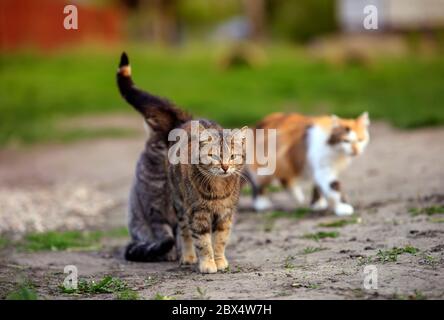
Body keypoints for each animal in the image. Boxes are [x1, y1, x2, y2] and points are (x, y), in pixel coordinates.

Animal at [117, 52, 246, 272]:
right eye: (214, 156)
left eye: (232, 157)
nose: (225, 167)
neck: (218, 189)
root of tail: (185, 121)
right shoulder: (197, 213)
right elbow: (203, 242)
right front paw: (207, 263)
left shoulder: (225, 214)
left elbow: (220, 240)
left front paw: (220, 261)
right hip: (180, 204)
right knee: (184, 233)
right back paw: (187, 256)